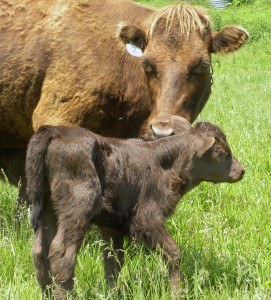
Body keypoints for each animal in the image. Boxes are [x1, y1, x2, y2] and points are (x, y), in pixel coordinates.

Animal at [26, 116, 246, 298]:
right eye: (221, 152)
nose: (241, 171)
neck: (164, 165)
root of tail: (55, 131)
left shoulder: (112, 224)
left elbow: (113, 261)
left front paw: (113, 293)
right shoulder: (147, 219)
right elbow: (174, 253)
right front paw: (178, 293)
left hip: (48, 208)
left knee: (39, 251)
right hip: (77, 206)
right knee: (62, 254)